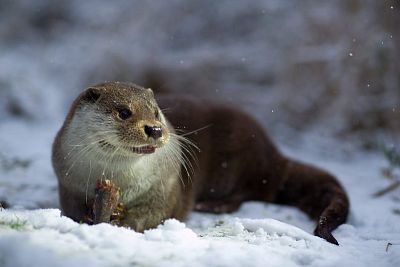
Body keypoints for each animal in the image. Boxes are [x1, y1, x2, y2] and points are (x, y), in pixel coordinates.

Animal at [51, 81, 348, 245]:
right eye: (124, 112)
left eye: (156, 112)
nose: (155, 129)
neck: (122, 181)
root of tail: (273, 153)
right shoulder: (68, 181)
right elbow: (72, 208)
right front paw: (90, 215)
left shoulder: (165, 185)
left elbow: (153, 214)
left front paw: (121, 222)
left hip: (242, 162)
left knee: (250, 192)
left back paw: (215, 205)